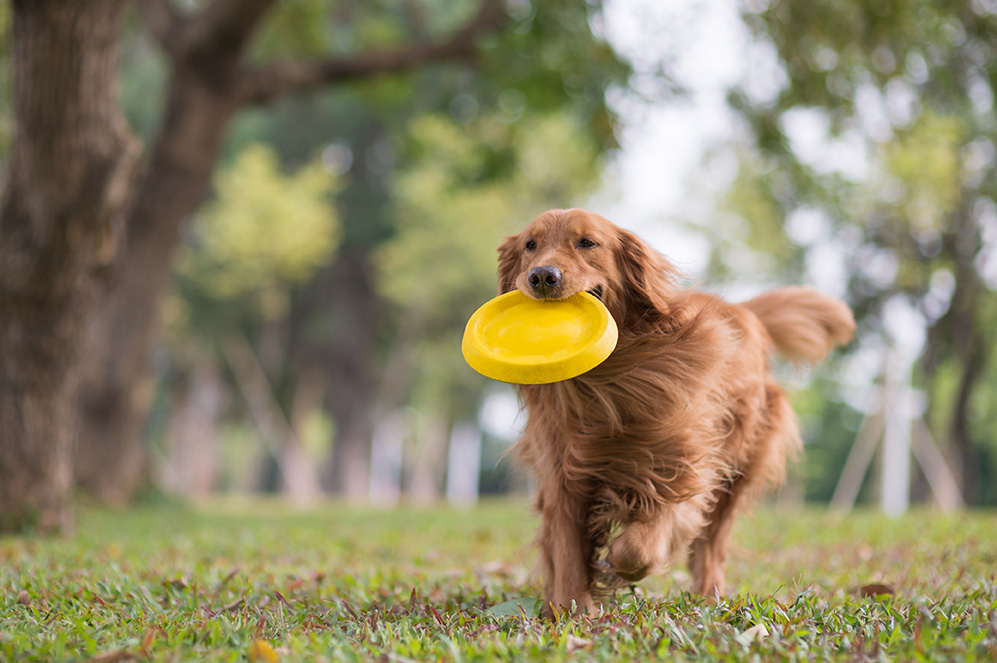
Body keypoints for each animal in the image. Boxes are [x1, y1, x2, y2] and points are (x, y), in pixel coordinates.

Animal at [494, 209, 852, 616]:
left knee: (711, 546)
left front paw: (615, 568)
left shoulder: (681, 470)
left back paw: (709, 596)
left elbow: (640, 545)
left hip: (737, 468)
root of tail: (745, 311)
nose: (542, 276)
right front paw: (572, 611)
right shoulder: (563, 477)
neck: (606, 384)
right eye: (530, 245)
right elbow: (568, 552)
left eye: (587, 242)